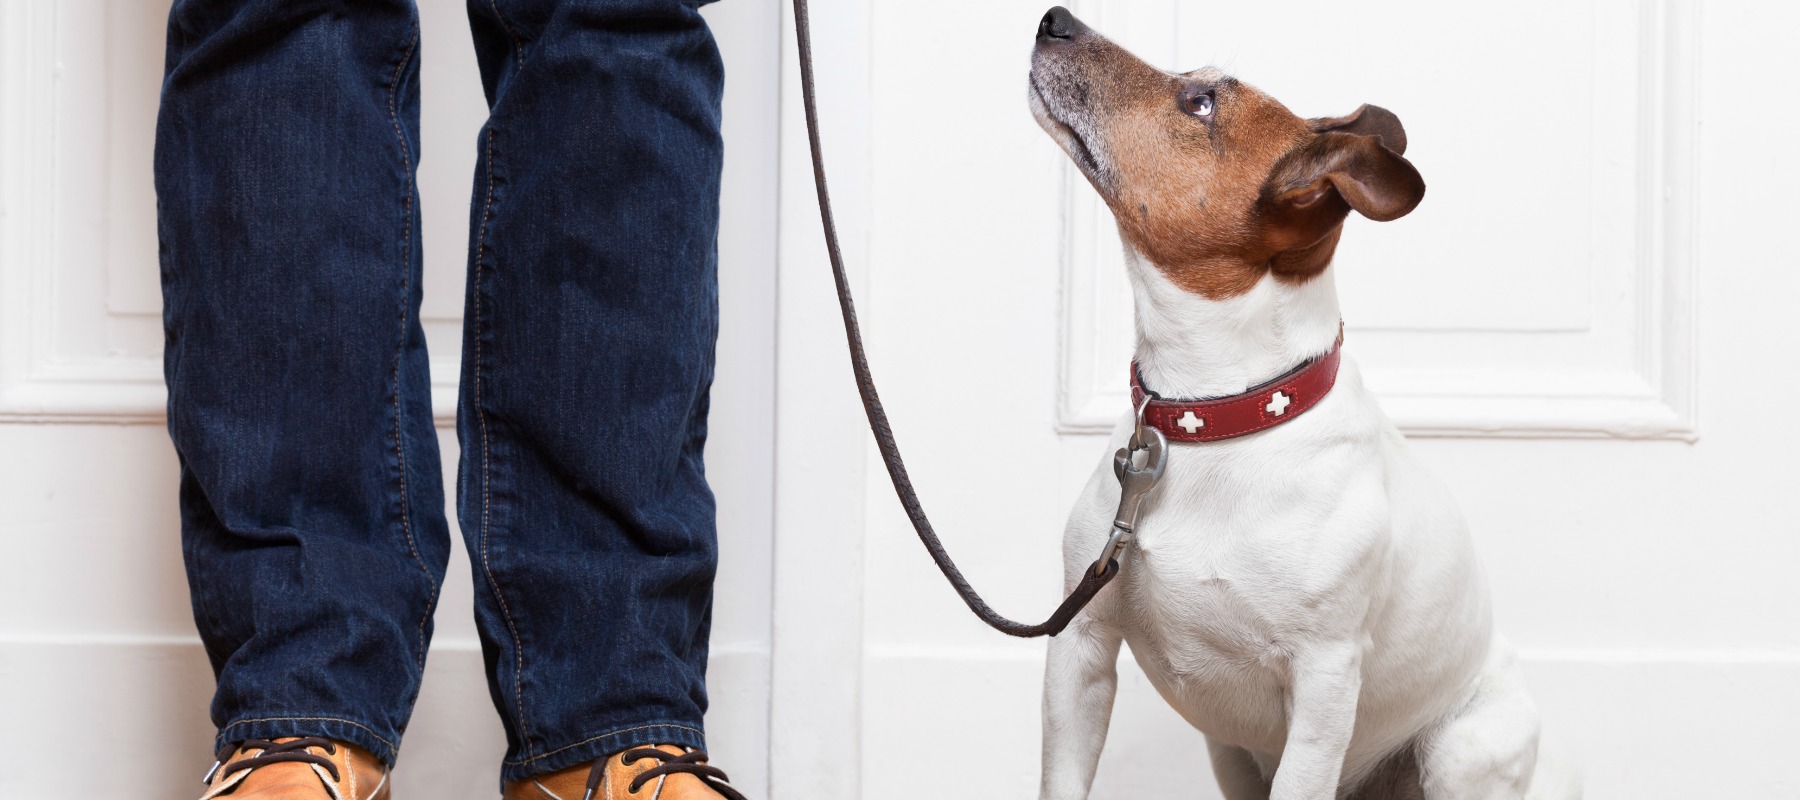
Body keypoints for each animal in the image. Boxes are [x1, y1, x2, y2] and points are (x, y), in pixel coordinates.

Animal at [1029, 7, 1576, 800]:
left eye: (1201, 104)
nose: (1055, 18)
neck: (1215, 416)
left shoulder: (1323, 688)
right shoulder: (1081, 650)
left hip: (1464, 750)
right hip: (1228, 755)